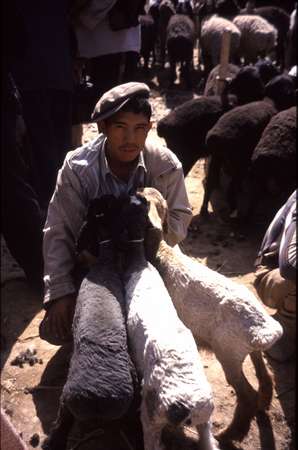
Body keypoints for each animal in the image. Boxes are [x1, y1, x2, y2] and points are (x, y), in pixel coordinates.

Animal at [139, 185, 282, 442]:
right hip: (249, 351)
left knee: (247, 394)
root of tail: (266, 330)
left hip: (229, 354)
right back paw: (263, 405)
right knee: (265, 378)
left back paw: (229, 433)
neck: (161, 252)